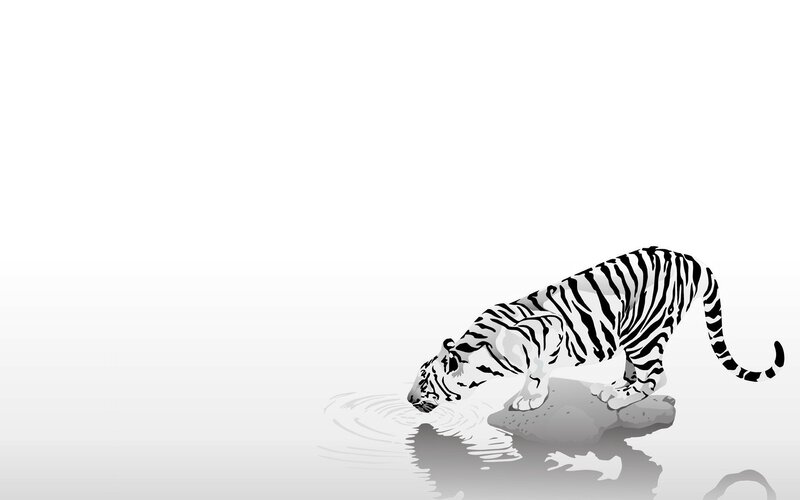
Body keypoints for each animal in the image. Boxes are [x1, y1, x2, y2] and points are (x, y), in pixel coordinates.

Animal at [407, 246, 785, 413]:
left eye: (424, 382)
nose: (408, 399)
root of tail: (688, 257)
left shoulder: (550, 330)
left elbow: (537, 373)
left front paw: (531, 399)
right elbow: (535, 373)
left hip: (646, 334)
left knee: (657, 376)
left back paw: (621, 399)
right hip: (634, 333)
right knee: (637, 369)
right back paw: (613, 386)